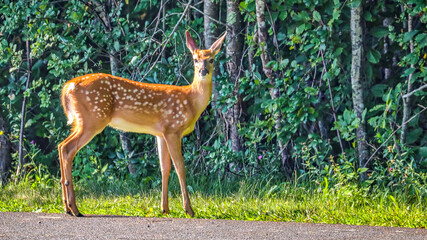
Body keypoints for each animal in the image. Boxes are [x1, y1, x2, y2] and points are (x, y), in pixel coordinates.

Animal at [59, 30, 229, 218]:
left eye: (211, 59)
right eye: (195, 59)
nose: (203, 71)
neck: (191, 101)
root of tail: (67, 87)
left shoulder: (160, 134)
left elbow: (165, 168)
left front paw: (165, 208)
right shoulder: (173, 129)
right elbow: (180, 167)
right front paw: (189, 210)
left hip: (81, 121)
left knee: (61, 146)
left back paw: (67, 207)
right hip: (93, 119)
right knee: (67, 148)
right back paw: (74, 208)